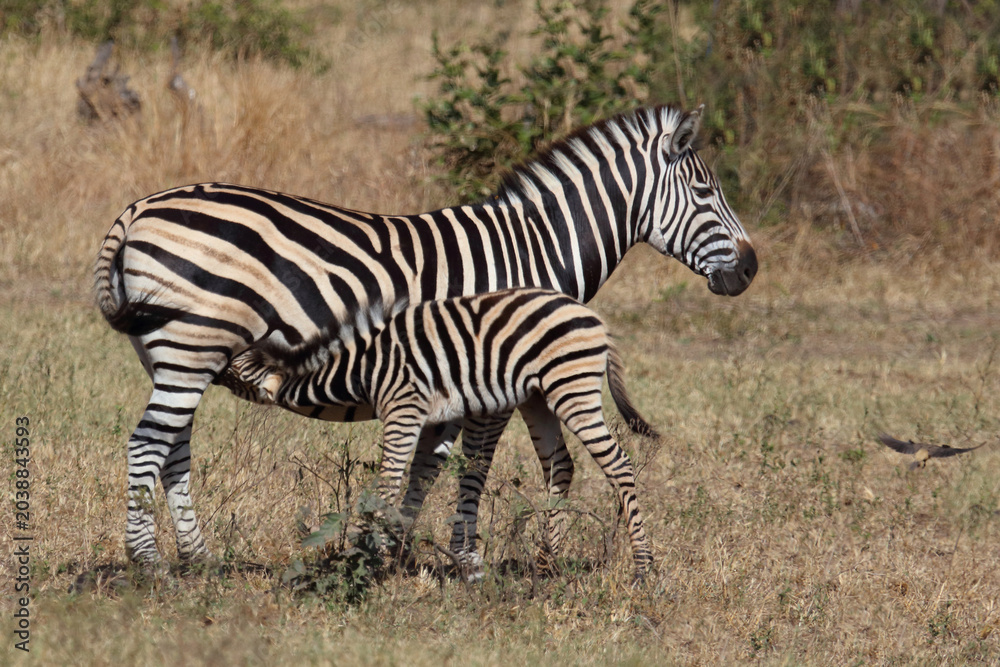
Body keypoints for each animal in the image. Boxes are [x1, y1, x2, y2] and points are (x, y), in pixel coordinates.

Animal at [233, 288, 659, 578]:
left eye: (232, 369)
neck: (364, 367)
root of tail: (594, 319)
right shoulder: (432, 419)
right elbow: (418, 482)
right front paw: (399, 555)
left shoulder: (403, 408)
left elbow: (388, 485)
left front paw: (369, 560)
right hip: (540, 397)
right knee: (560, 466)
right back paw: (544, 563)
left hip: (572, 387)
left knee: (618, 464)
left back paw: (642, 569)